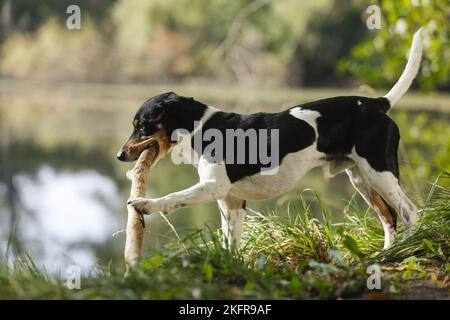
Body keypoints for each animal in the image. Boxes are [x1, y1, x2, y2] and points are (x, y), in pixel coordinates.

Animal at [118, 30, 424, 250]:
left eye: (141, 126)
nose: (120, 155)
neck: (202, 128)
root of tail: (376, 104)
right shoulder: (232, 202)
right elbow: (231, 244)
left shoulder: (213, 187)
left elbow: (174, 197)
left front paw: (145, 204)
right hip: (361, 178)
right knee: (389, 217)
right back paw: (385, 255)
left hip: (378, 171)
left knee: (409, 212)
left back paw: (406, 250)